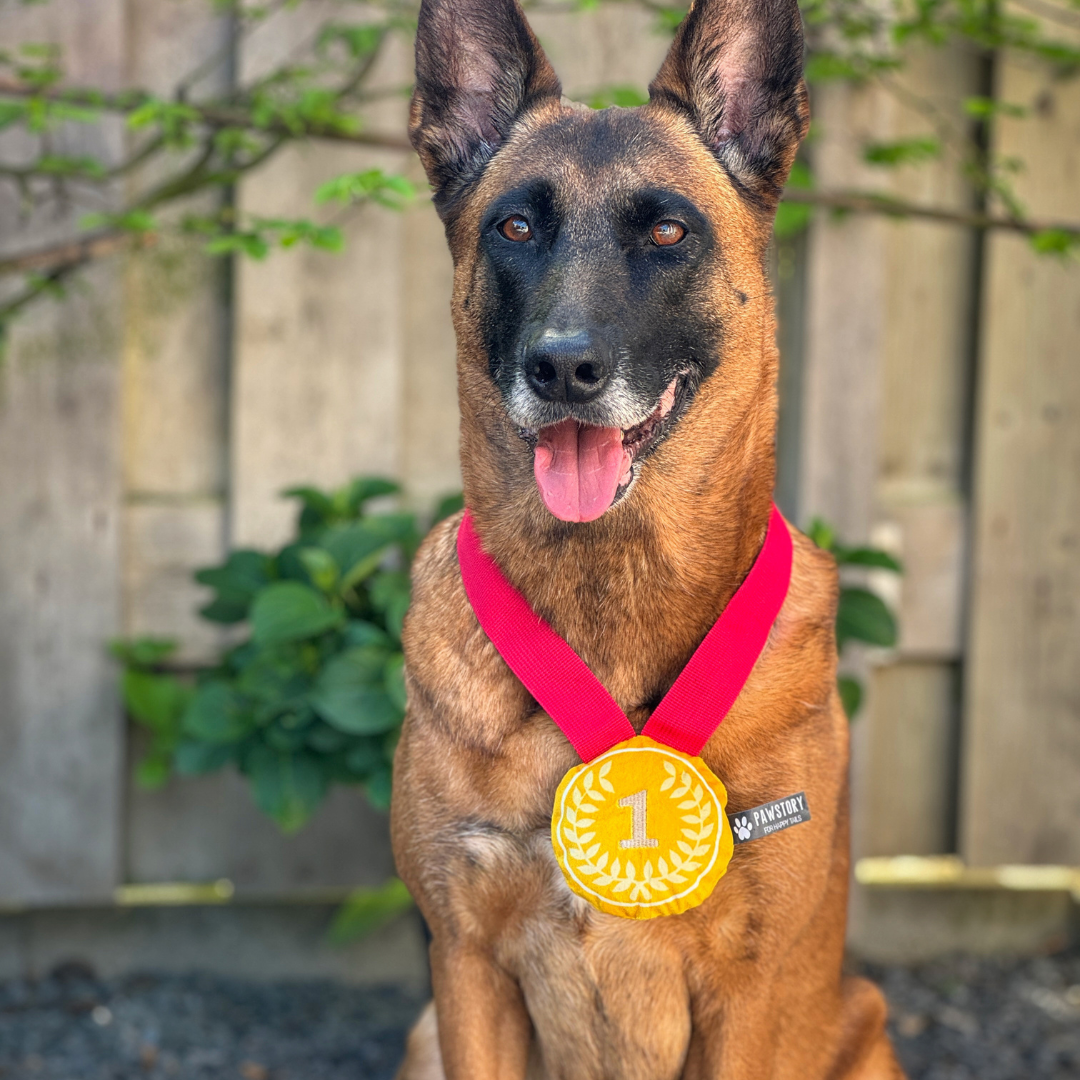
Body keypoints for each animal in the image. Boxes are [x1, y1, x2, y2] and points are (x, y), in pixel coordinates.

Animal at [388, 0, 902, 1075]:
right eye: (514, 226)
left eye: (668, 230)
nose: (562, 369)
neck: (608, 592)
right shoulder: (465, 965)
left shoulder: (745, 996)